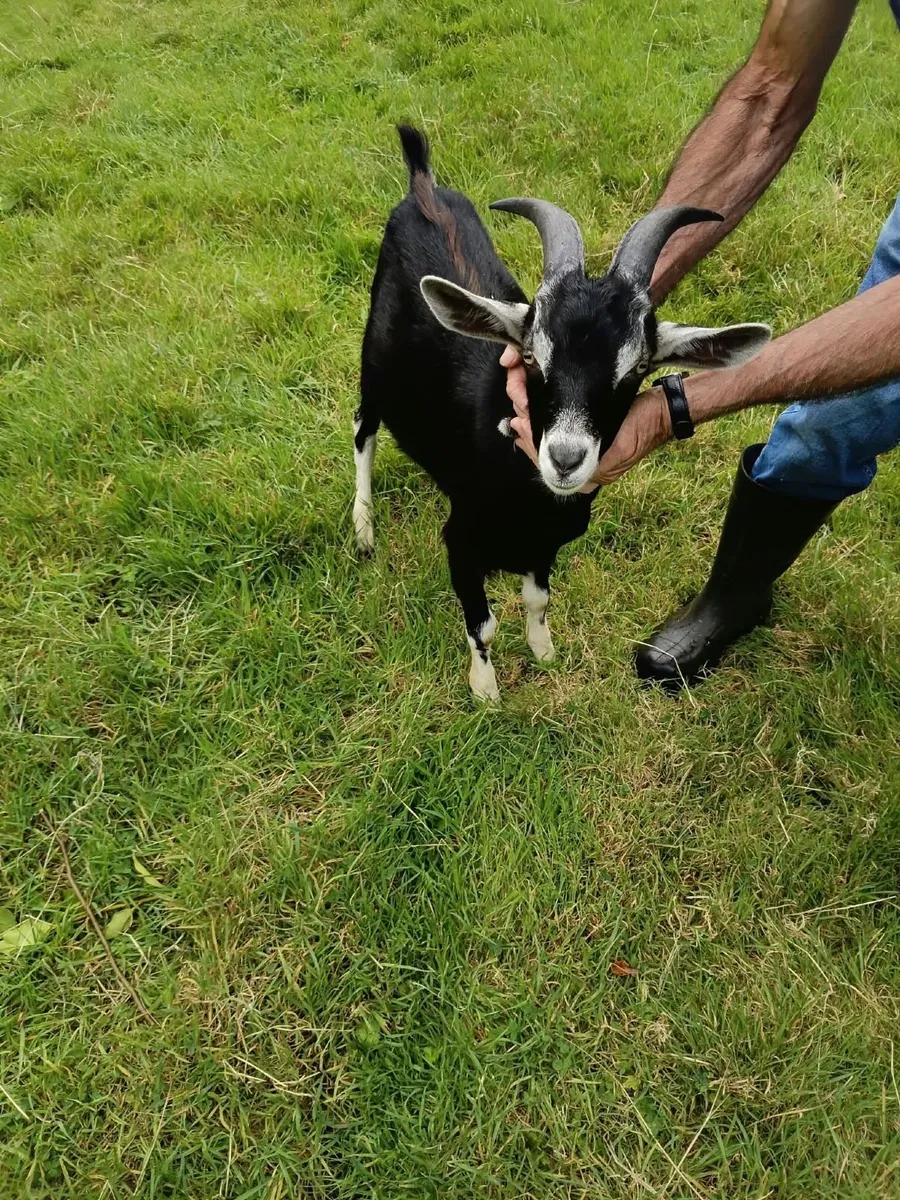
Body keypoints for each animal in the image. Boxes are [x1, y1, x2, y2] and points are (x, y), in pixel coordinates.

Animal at [355, 126, 770, 701]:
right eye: (530, 356)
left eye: (638, 368)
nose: (566, 459)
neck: (533, 502)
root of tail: (423, 189)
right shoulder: (461, 540)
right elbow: (483, 623)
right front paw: (486, 690)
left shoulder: (544, 548)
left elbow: (537, 599)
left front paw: (544, 652)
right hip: (374, 363)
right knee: (363, 430)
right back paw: (363, 531)